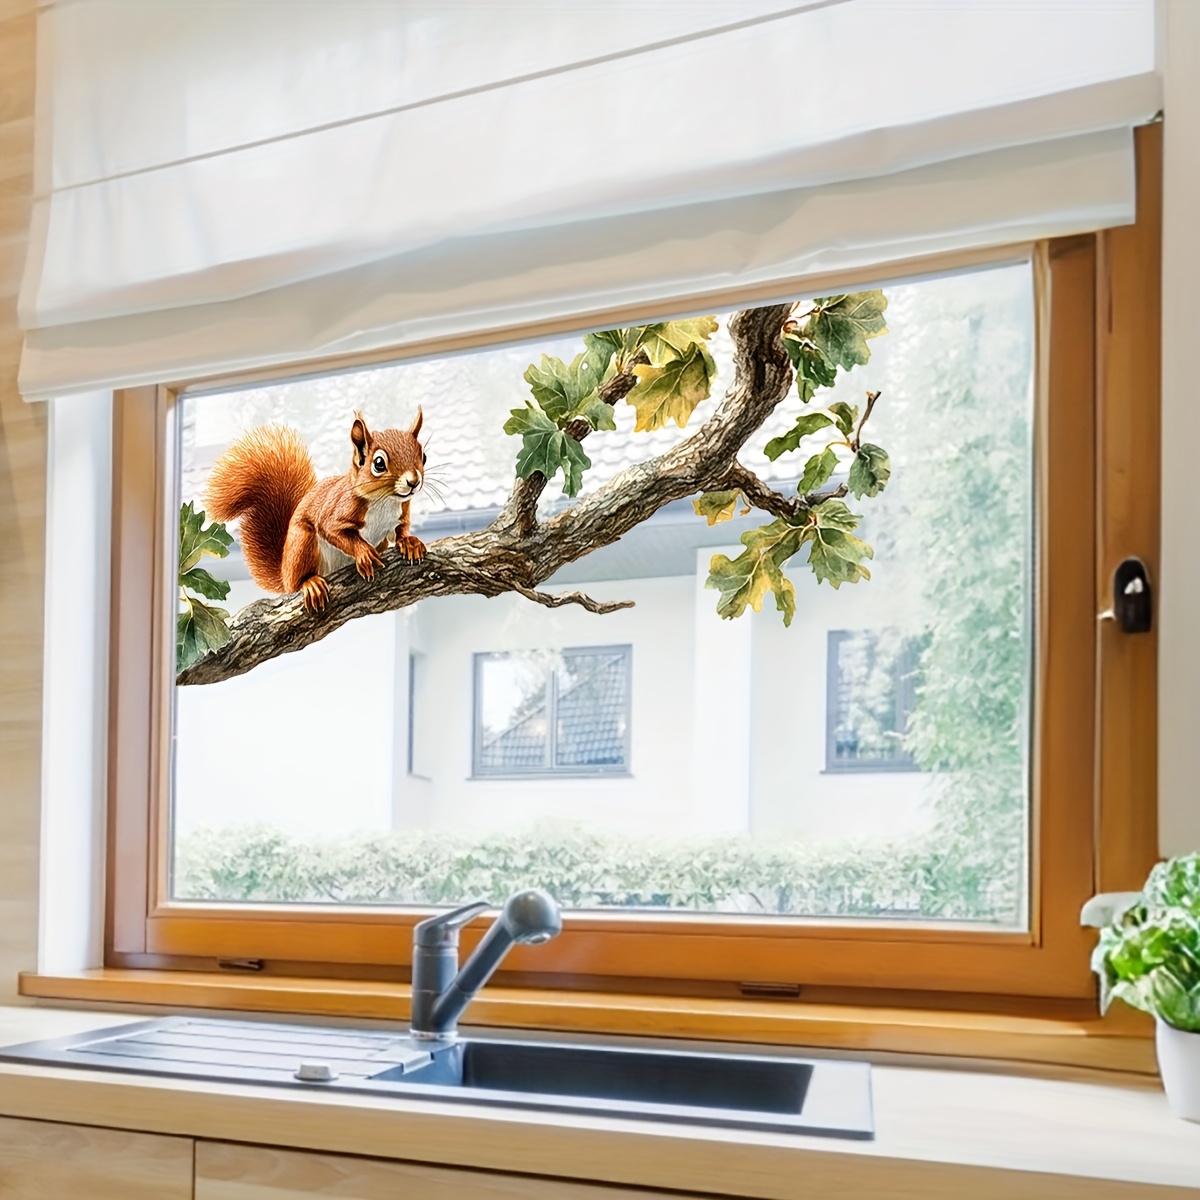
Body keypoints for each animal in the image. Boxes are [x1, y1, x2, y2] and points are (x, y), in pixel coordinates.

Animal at [206, 409, 427, 612]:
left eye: (423, 456)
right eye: (379, 464)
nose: (413, 482)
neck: (385, 500)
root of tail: (284, 574)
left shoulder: (401, 514)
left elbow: (401, 530)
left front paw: (409, 543)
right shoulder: (337, 509)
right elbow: (334, 531)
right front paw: (364, 552)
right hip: (302, 543)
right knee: (297, 582)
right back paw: (310, 583)